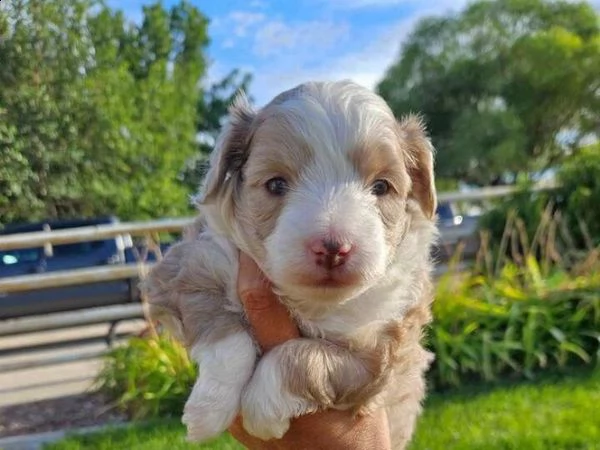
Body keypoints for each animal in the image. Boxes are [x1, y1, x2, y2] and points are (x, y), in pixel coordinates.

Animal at [143, 81, 438, 450]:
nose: (332, 248)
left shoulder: (380, 349)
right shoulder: (190, 265)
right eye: (276, 184)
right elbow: (227, 334)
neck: (308, 301)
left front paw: (260, 408)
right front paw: (208, 409)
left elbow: (303, 357)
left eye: (381, 186)